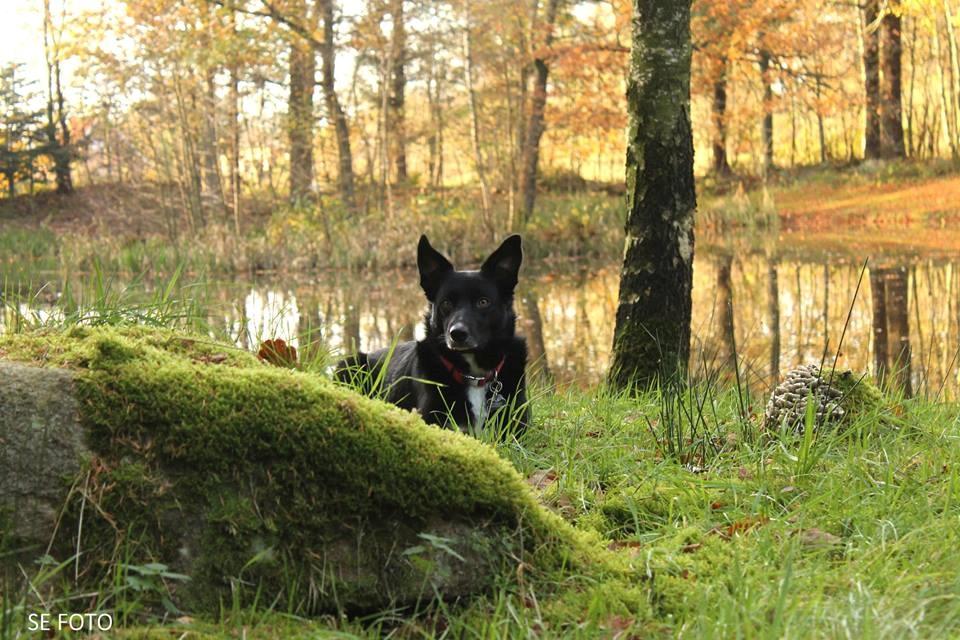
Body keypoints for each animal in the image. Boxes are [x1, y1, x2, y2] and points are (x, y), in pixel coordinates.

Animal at [338, 235, 528, 436]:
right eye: (446, 303)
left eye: (483, 302)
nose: (457, 334)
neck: (474, 376)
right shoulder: (430, 420)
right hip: (348, 363)